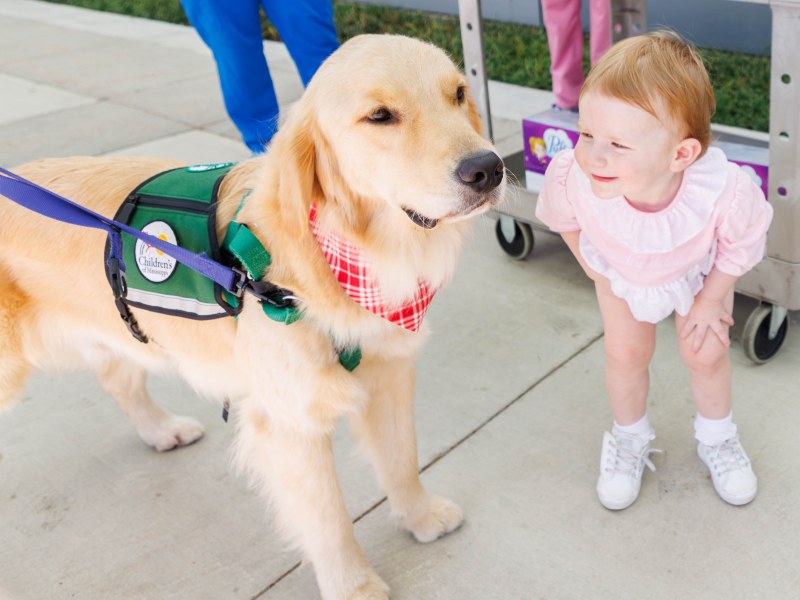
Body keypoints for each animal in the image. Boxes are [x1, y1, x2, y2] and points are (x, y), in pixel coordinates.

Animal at [0, 34, 504, 600]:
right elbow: (329, 519)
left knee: (118, 379)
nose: (488, 168)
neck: (349, 254)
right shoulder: (290, 425)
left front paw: (419, 517)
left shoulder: (390, 377)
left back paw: (161, 430)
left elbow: (402, 461)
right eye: (380, 116)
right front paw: (354, 585)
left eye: (458, 94)